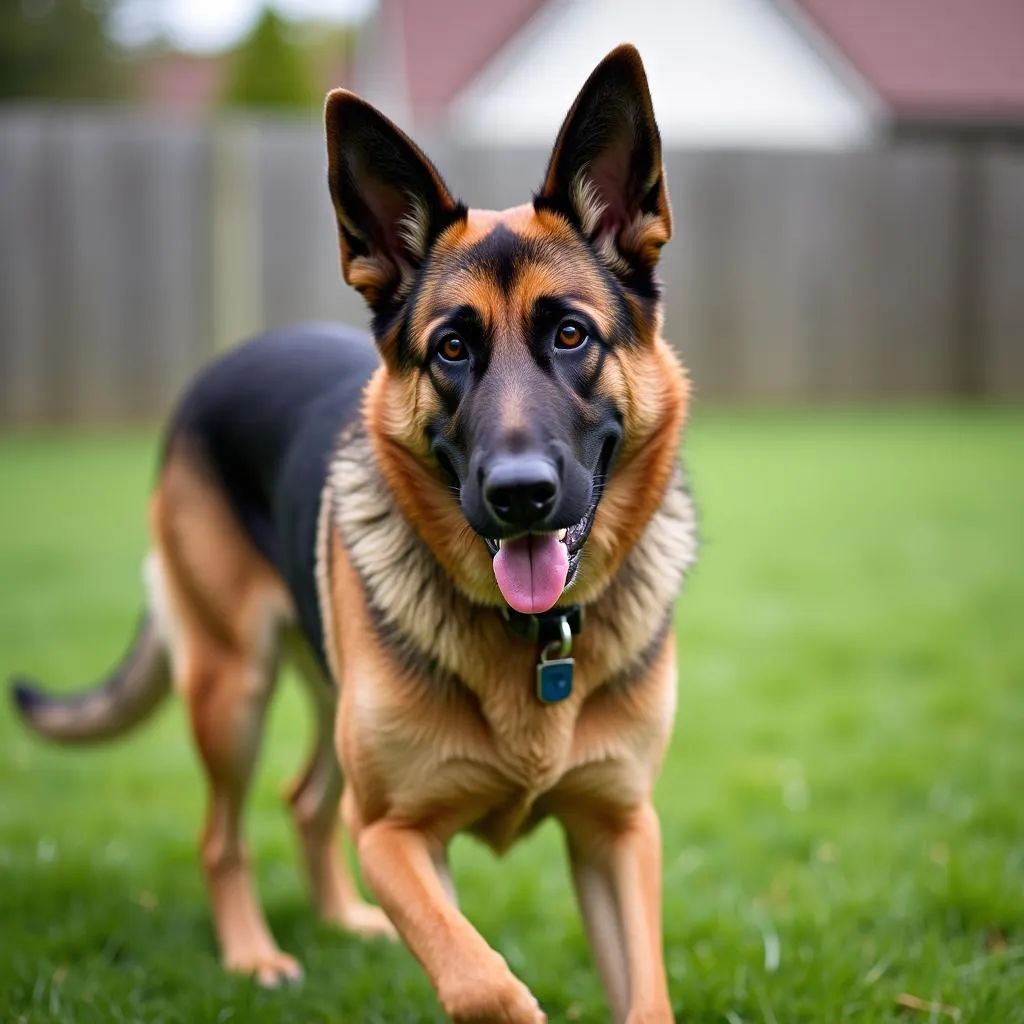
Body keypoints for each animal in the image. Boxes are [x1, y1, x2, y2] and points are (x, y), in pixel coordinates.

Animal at [9, 46, 696, 1024]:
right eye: (451, 350)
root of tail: (230, 360)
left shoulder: (620, 834)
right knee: (224, 834)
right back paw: (255, 956)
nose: (520, 496)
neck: (532, 638)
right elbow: (481, 982)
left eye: (571, 335)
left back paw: (341, 922)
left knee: (304, 800)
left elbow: (644, 997)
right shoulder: (392, 836)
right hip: (232, 688)